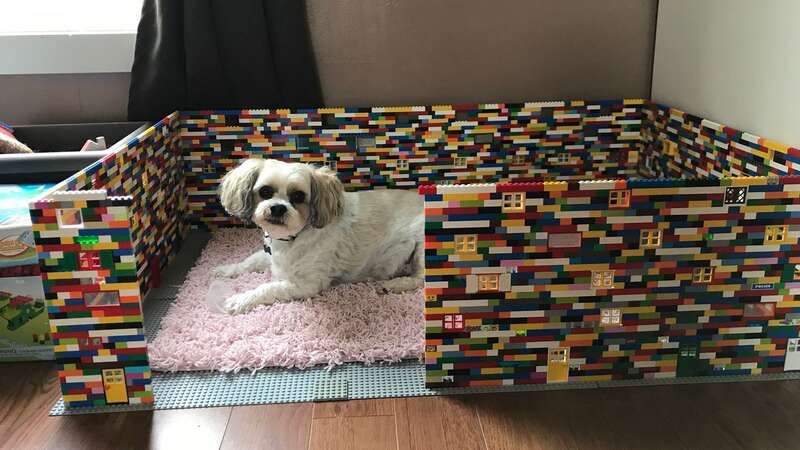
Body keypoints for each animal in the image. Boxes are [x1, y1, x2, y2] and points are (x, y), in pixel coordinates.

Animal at [212, 160, 424, 314]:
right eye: (265, 191)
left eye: (298, 196)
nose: (278, 208)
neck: (293, 238)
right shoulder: (270, 254)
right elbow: (249, 261)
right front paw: (225, 269)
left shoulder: (307, 284)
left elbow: (267, 288)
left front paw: (240, 300)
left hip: (421, 247)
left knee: (420, 279)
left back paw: (395, 284)